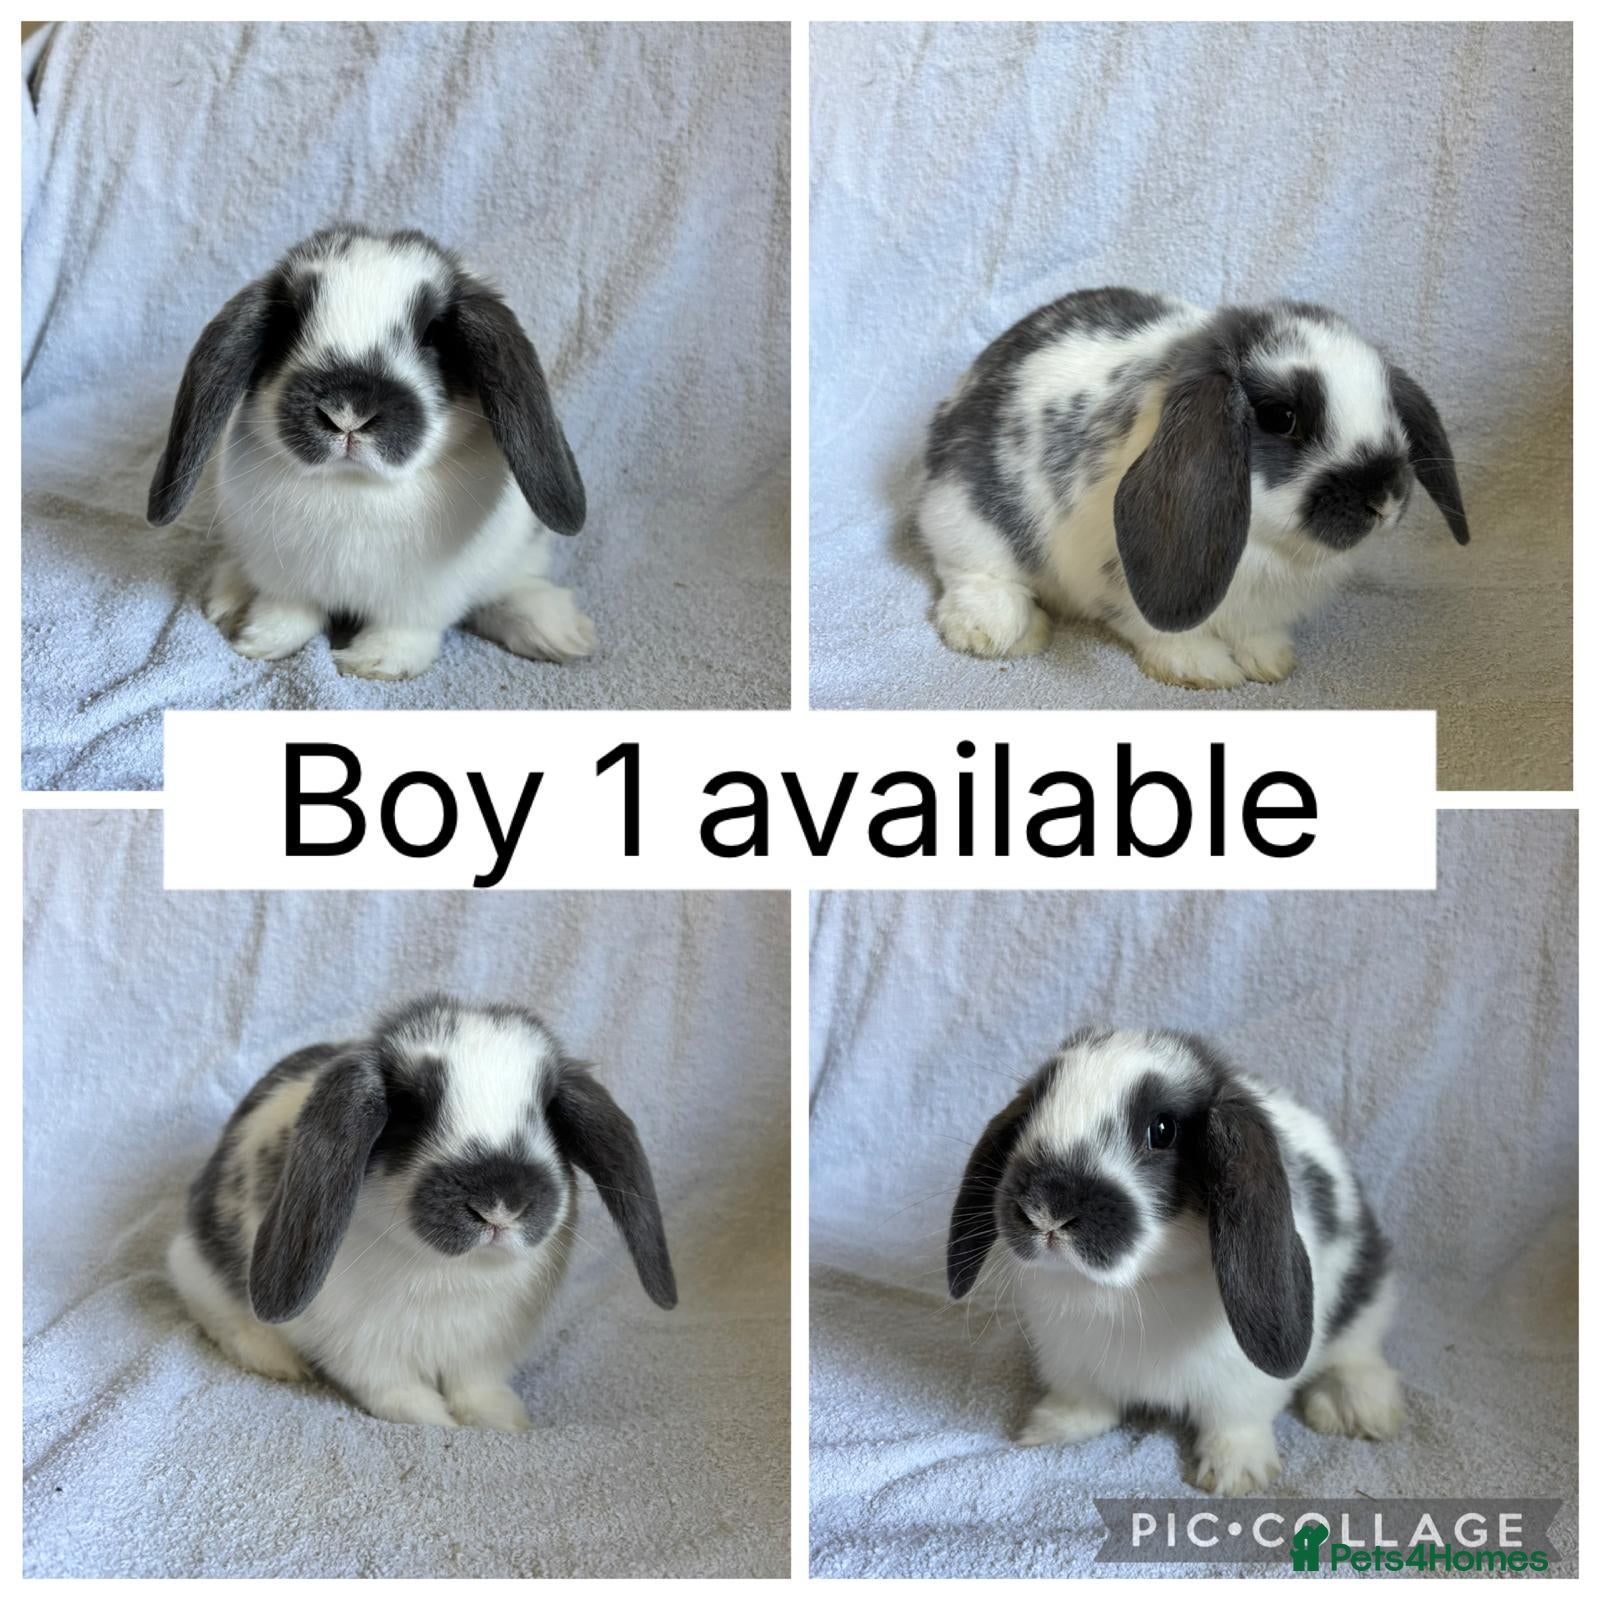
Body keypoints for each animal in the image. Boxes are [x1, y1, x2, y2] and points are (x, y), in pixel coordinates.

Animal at [146, 225, 593, 681]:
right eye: (288, 326)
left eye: (434, 334)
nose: (347, 412)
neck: (353, 485)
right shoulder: (284, 575)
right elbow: (287, 610)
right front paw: (260, 640)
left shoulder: (423, 597)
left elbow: (405, 628)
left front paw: (374, 662)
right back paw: (228, 601)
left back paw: (560, 632)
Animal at [167, 997, 676, 1428]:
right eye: (410, 1111)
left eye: (550, 1112)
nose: (499, 1205)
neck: (452, 1272)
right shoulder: (360, 1343)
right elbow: (393, 1388)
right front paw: (433, 1419)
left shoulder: (486, 1346)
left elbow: (477, 1386)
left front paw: (505, 1420)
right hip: (200, 1266)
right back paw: (274, 1358)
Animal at [918, 288, 1469, 688]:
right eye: (1281, 417)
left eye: (1388, 404)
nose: (1385, 499)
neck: (1266, 550)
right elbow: (1163, 634)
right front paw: (1206, 670)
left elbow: (1257, 637)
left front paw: (1270, 663)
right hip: (965, 520)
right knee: (972, 574)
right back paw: (1000, 633)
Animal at [946, 1028, 1403, 1495]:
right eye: (1035, 1108)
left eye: (1163, 1130)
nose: (1045, 1210)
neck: (1137, 1285)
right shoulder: (1070, 1363)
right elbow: (1083, 1403)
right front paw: (1050, 1429)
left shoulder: (1242, 1383)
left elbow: (1236, 1422)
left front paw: (1234, 1473)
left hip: (1369, 1289)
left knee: (1358, 1347)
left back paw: (1359, 1409)